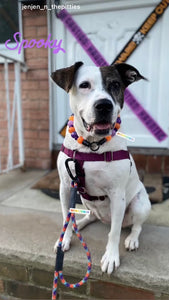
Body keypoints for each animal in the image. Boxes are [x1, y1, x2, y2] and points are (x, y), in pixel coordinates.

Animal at [51, 62, 151, 274]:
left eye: (115, 84)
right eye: (84, 85)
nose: (104, 105)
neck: (91, 145)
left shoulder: (117, 195)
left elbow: (114, 233)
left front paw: (111, 257)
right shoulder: (66, 187)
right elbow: (66, 217)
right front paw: (65, 239)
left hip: (139, 204)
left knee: (136, 226)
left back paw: (132, 239)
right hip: (85, 201)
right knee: (90, 216)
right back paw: (80, 224)